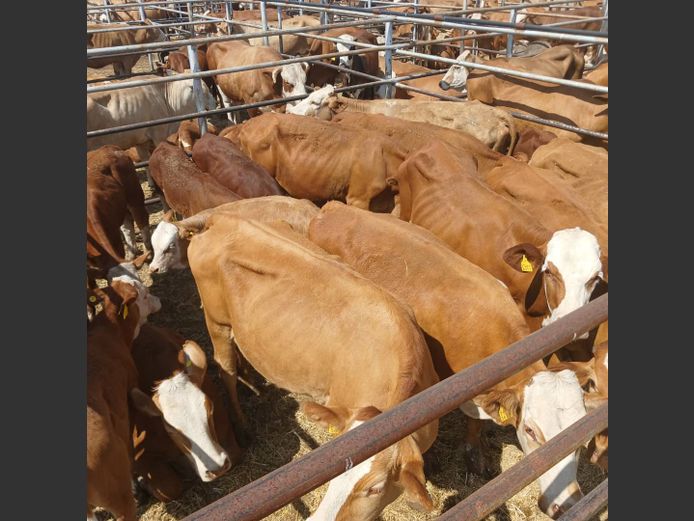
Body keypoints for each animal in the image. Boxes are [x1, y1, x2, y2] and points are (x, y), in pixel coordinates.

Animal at [186, 214, 439, 520]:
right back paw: (243, 427)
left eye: (375, 488)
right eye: (333, 464)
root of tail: (222, 218)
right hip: (217, 322)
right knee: (226, 369)